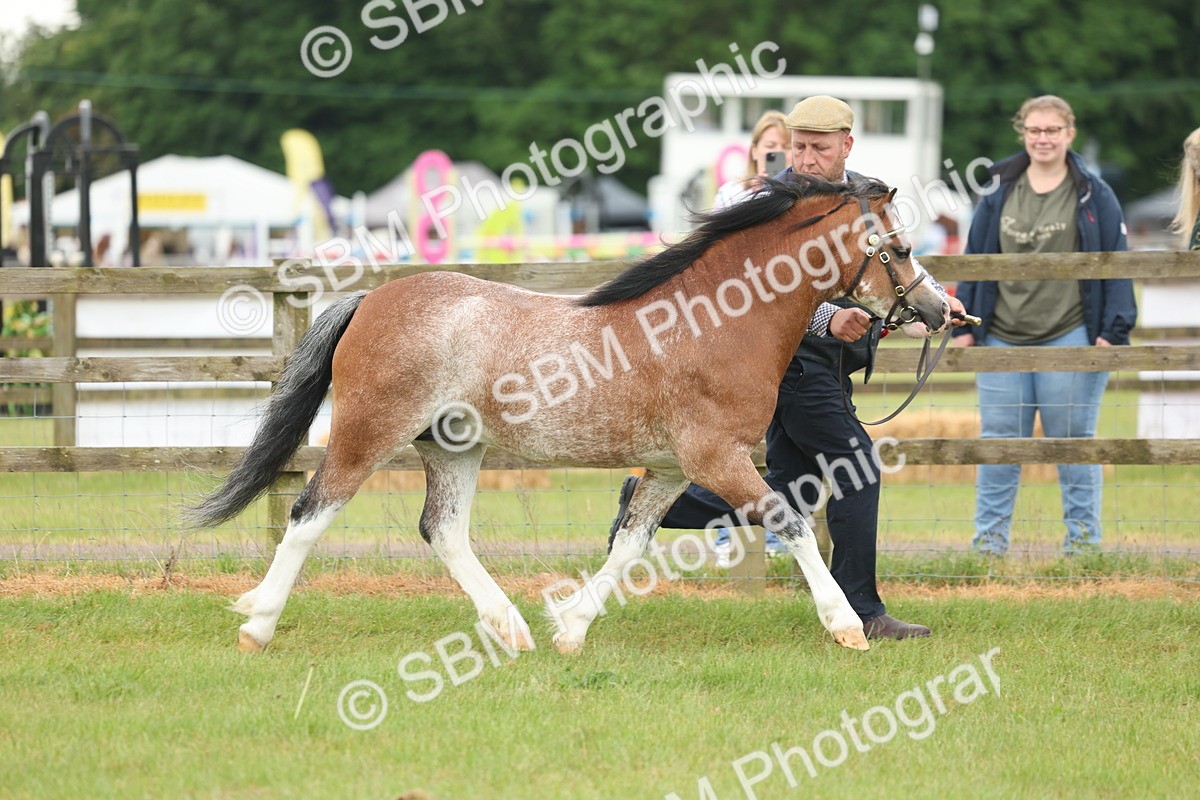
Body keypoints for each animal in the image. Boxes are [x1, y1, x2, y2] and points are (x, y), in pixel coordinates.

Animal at [186, 175, 949, 655]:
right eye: (901, 248)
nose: (940, 310)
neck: (715, 322)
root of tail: (370, 300)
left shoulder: (672, 468)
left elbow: (629, 545)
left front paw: (570, 629)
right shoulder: (717, 458)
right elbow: (789, 522)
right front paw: (845, 626)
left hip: (453, 448)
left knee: (443, 531)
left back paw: (511, 628)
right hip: (367, 433)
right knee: (309, 515)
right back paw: (257, 625)